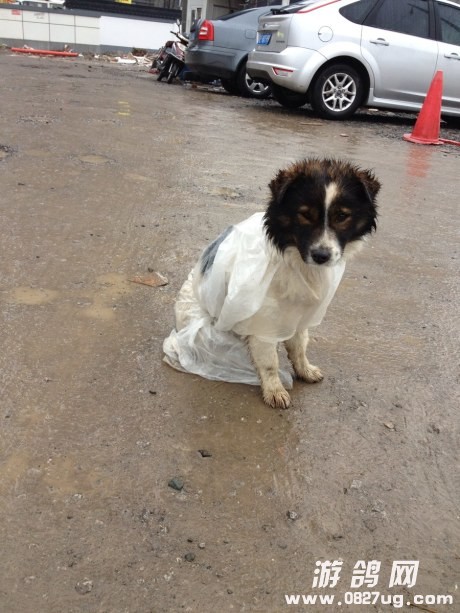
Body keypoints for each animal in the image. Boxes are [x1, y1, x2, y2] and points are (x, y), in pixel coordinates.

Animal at [163, 158, 380, 409]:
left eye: (342, 216)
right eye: (305, 215)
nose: (321, 256)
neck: (294, 259)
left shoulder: (299, 314)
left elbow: (299, 347)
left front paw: (304, 370)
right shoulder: (263, 322)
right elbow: (269, 362)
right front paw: (274, 390)